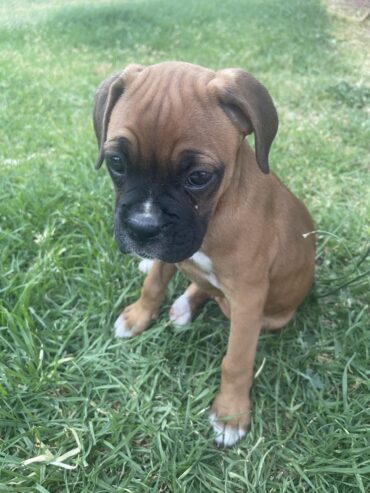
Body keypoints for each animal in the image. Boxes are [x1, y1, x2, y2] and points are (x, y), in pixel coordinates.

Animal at [92, 61, 316, 446]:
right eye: (116, 162)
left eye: (198, 177)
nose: (142, 228)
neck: (216, 215)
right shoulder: (170, 251)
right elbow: (153, 285)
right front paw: (138, 316)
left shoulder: (247, 299)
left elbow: (236, 361)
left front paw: (230, 414)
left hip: (270, 315)